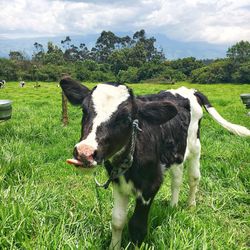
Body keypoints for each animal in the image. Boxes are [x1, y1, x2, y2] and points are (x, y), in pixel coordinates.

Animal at [59, 77, 249, 249]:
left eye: (126, 119)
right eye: (84, 111)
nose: (84, 152)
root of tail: (189, 90)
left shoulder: (151, 185)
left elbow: (137, 226)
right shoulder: (118, 184)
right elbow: (117, 221)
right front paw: (114, 246)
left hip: (195, 146)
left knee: (194, 178)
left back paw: (190, 205)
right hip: (176, 153)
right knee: (177, 179)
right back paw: (173, 206)